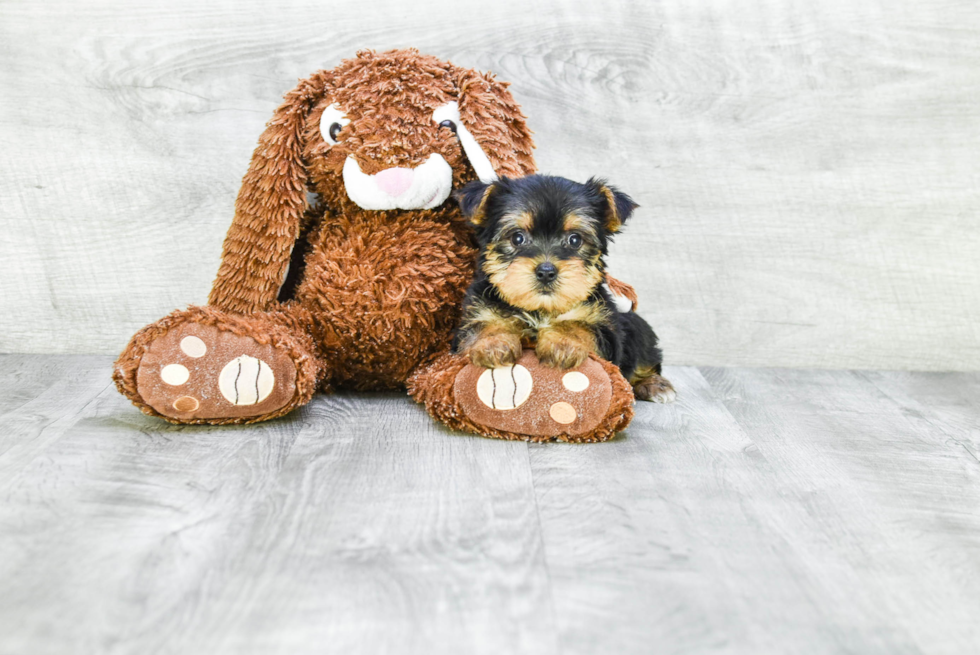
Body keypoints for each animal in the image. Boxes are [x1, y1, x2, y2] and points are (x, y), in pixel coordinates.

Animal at [452, 174, 672, 402]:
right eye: (517, 237)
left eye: (575, 239)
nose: (546, 271)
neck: (541, 309)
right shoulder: (476, 312)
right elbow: (483, 324)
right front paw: (493, 342)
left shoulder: (607, 332)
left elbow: (579, 325)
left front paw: (563, 344)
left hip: (638, 330)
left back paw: (654, 385)